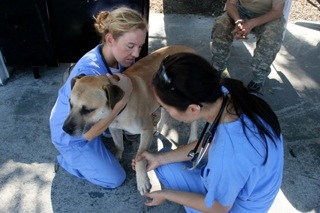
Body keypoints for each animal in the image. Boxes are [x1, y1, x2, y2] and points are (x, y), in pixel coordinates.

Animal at [62, 45, 198, 195]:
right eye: (70, 104)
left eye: (87, 110)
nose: (65, 129)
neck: (118, 110)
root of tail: (187, 48)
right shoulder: (114, 128)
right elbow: (118, 145)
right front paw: (117, 157)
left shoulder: (146, 131)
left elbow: (140, 158)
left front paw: (142, 181)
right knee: (165, 113)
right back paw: (159, 128)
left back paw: (193, 138)